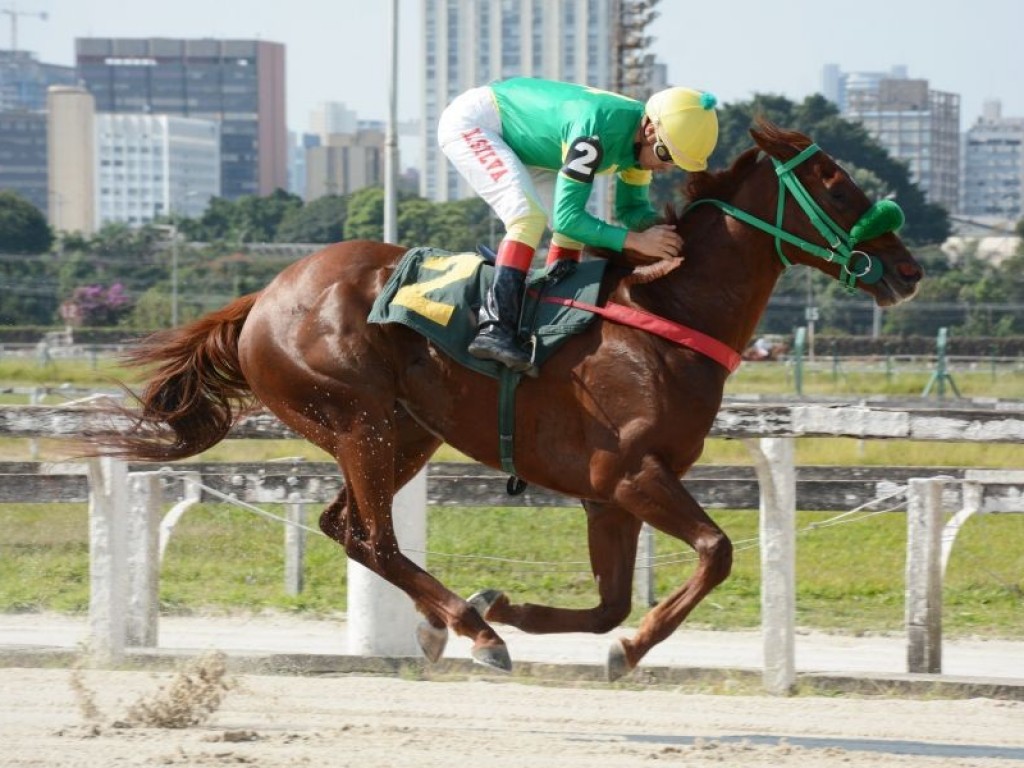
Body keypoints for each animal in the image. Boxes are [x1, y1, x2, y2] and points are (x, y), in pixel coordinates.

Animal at [86, 123, 921, 684]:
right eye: (834, 181)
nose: (908, 269)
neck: (667, 316)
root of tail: (265, 295)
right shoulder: (631, 475)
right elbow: (715, 553)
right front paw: (624, 650)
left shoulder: (607, 496)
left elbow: (610, 603)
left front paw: (517, 607)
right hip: (360, 420)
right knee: (374, 538)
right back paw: (470, 630)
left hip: (406, 430)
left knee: (345, 527)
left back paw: (455, 622)